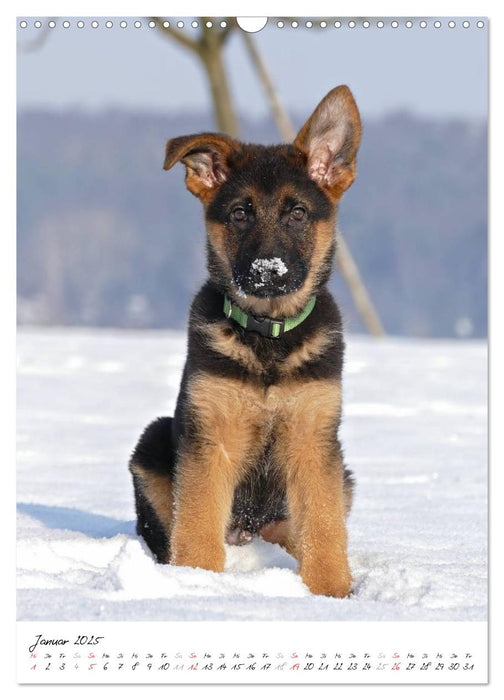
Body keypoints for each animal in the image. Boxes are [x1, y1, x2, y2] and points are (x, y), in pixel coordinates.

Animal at [128, 82, 360, 596]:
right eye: (239, 214)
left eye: (298, 213)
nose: (267, 271)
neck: (268, 337)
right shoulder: (211, 438)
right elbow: (196, 524)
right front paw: (196, 583)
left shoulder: (314, 440)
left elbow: (324, 526)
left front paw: (332, 594)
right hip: (153, 443)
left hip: (342, 478)